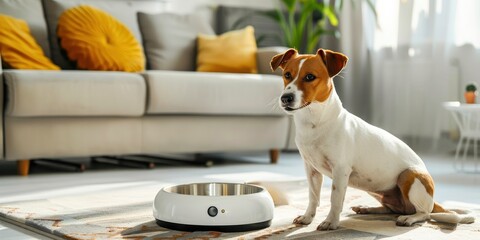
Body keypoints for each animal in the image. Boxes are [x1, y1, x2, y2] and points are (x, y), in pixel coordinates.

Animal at [268, 48, 474, 231]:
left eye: (310, 77)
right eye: (287, 75)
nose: (286, 98)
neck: (315, 122)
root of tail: (433, 199)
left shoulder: (340, 170)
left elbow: (335, 199)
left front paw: (330, 222)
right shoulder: (311, 170)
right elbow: (313, 197)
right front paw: (307, 218)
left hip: (409, 176)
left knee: (424, 213)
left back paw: (409, 219)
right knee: (393, 209)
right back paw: (367, 208)